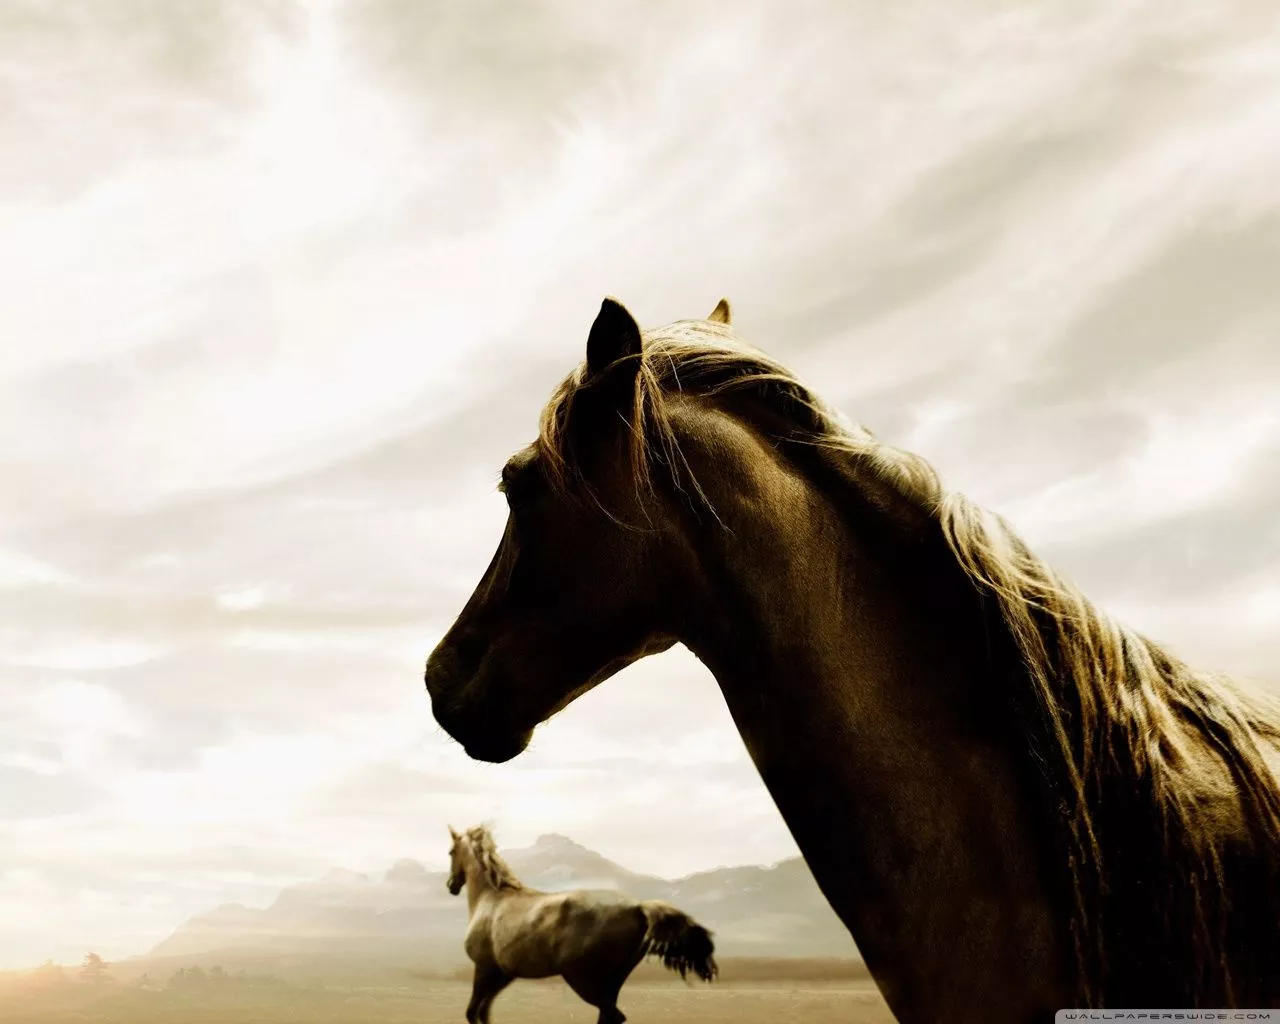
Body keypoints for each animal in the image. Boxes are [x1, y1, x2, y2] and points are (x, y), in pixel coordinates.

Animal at [443, 824, 716, 1023]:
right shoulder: (503, 973)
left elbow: (473, 1012)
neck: (491, 898)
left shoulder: (484, 968)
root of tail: (638, 907)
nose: (451, 886)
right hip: (610, 982)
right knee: (609, 1015)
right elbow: (483, 1013)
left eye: (451, 852)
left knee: (613, 1015)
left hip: (582, 979)